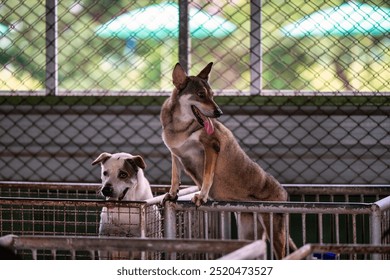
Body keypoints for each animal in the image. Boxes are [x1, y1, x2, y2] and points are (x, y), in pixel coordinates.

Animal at [160, 61, 294, 258]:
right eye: (201, 95)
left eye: (212, 95)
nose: (219, 112)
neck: (180, 127)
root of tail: (285, 193)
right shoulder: (174, 153)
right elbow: (175, 177)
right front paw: (172, 194)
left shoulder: (212, 147)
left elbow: (207, 176)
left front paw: (202, 197)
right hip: (247, 232)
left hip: (276, 233)